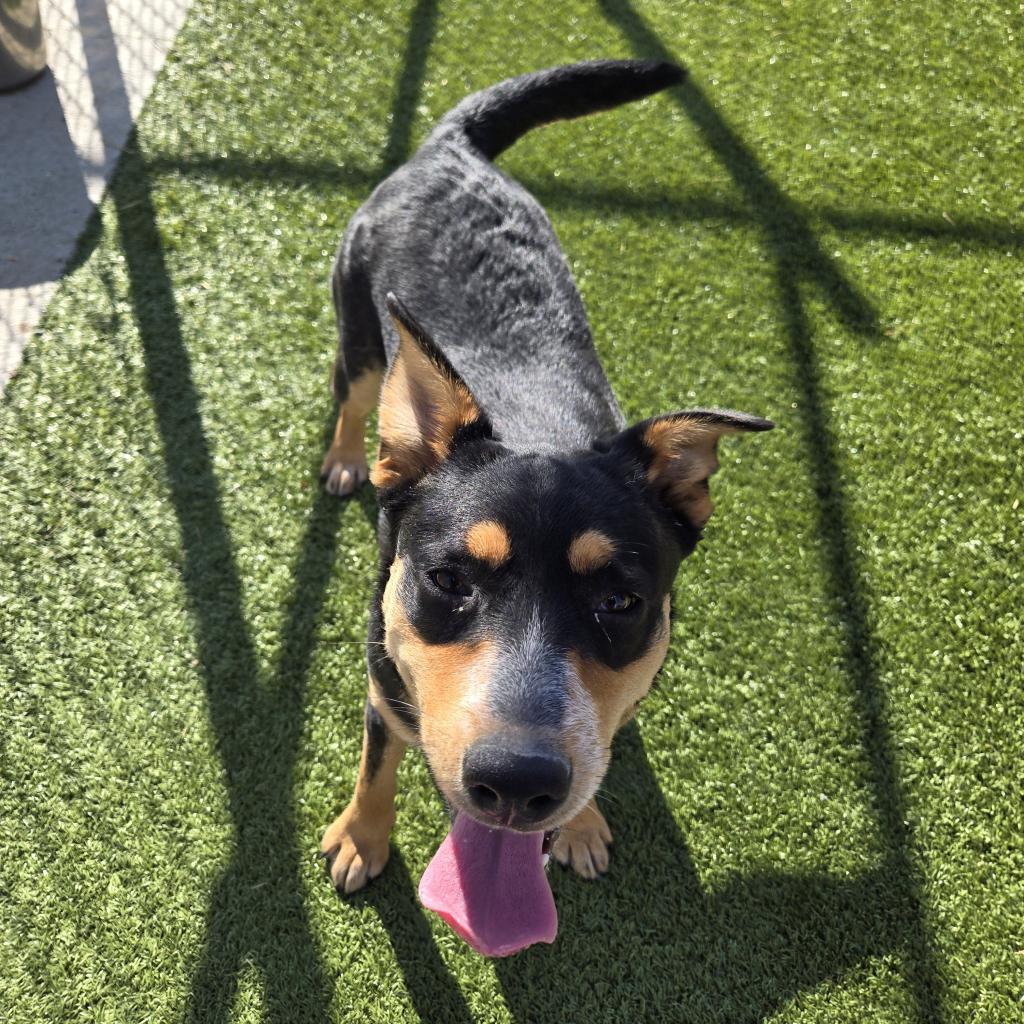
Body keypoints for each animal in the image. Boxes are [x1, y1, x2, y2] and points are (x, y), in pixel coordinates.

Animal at [315, 59, 770, 954]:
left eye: (621, 601)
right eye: (448, 580)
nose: (518, 783)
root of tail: (451, 146)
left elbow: (600, 743)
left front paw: (582, 826)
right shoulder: (382, 680)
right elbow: (377, 762)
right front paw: (360, 838)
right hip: (358, 329)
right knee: (356, 395)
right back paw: (348, 459)